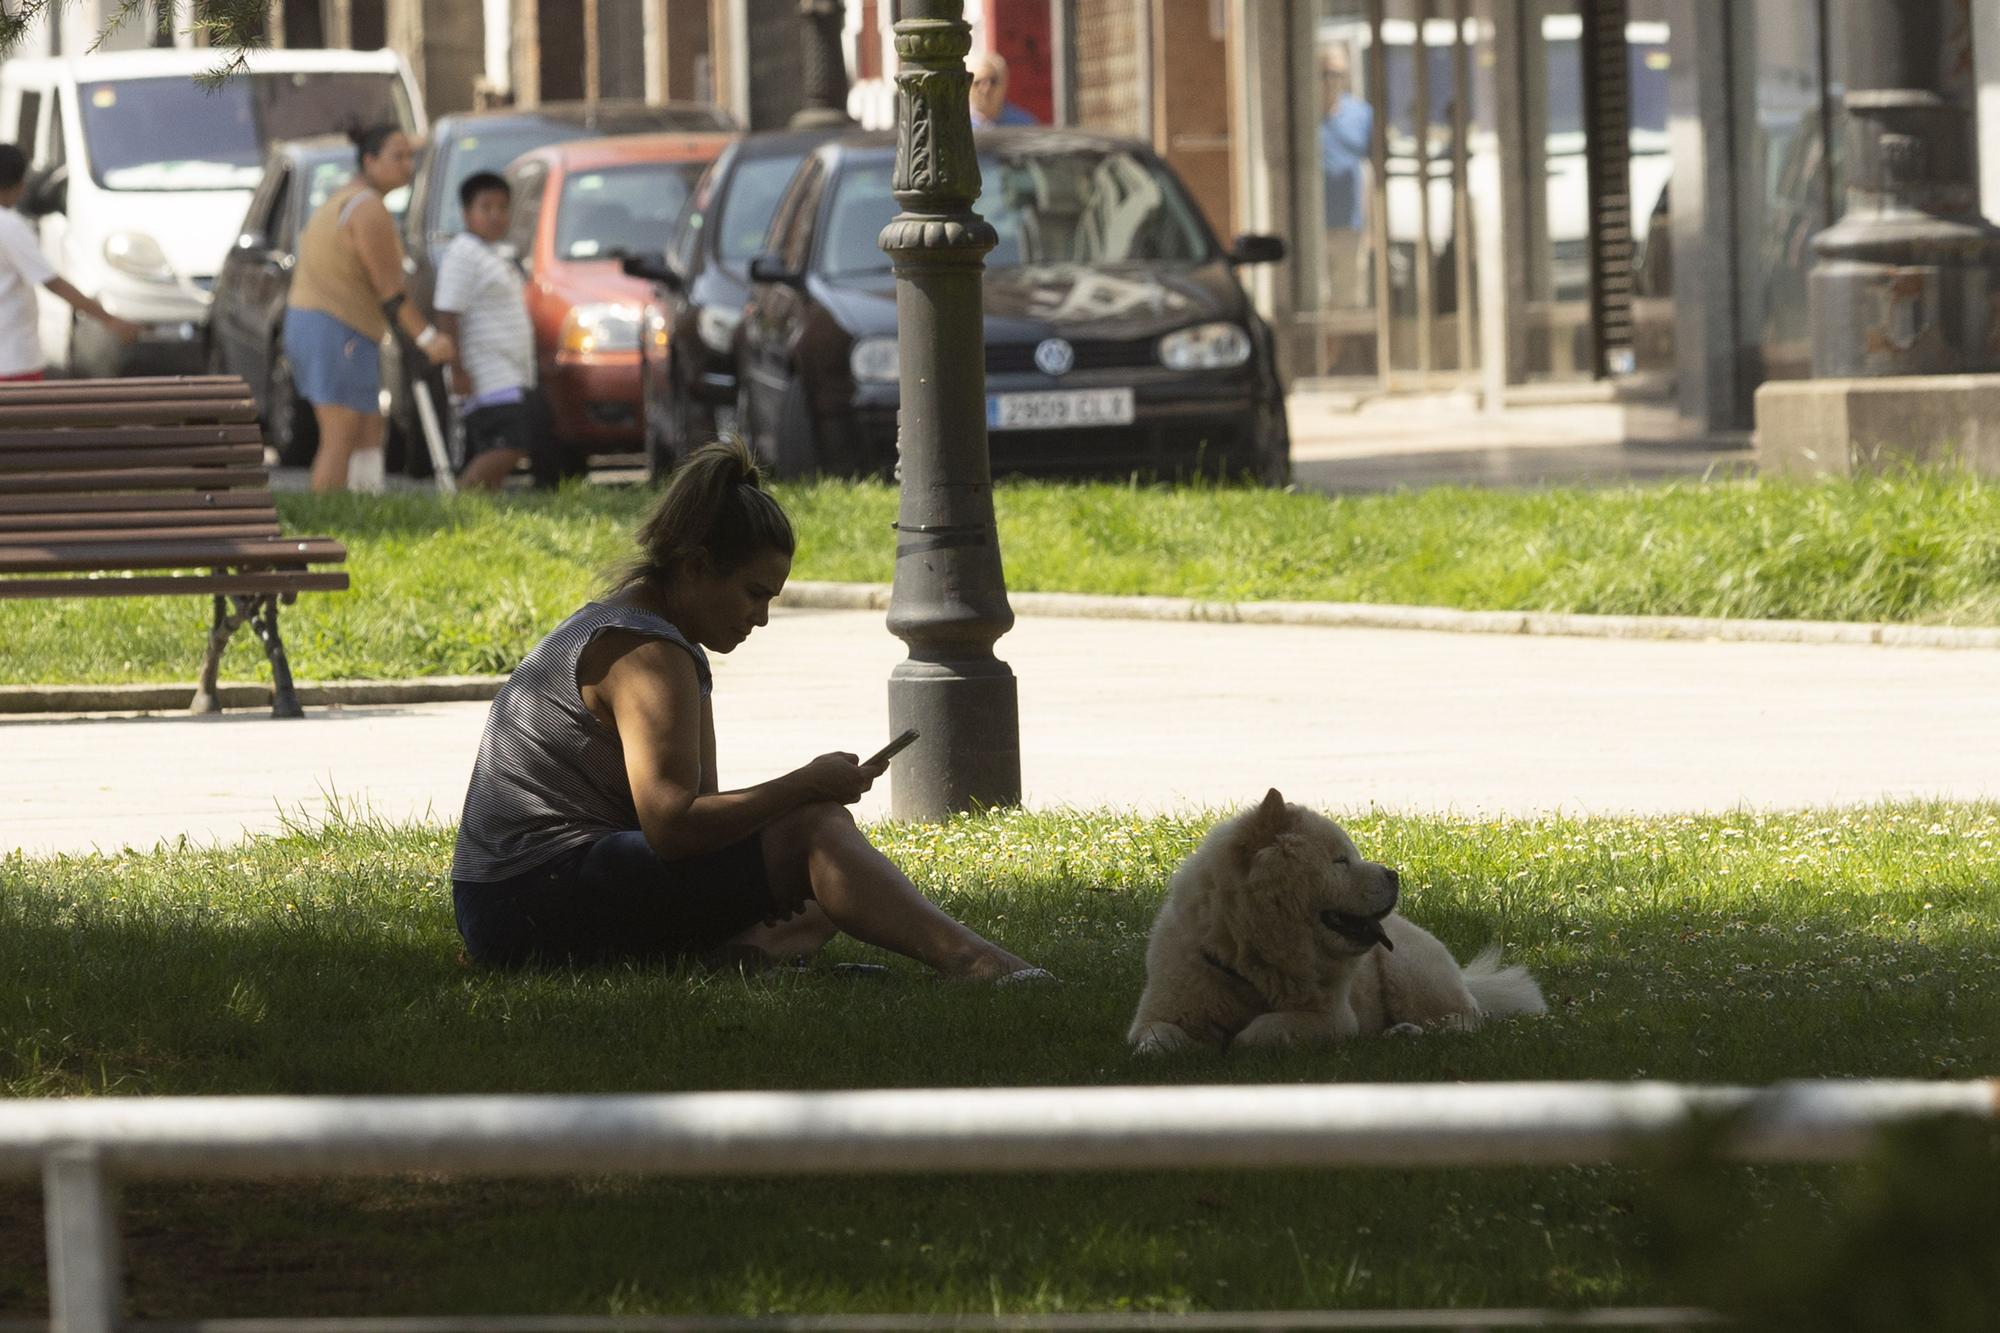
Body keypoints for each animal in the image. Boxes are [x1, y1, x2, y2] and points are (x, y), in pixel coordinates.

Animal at [1128, 788, 1544, 1048]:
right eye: (1341, 861)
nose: (1394, 874)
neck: (1252, 959)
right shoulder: (1157, 1013)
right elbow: (1157, 1037)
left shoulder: (1333, 1019)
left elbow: (1262, 1030)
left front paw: (1238, 1038)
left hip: (1411, 970)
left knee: (1461, 1021)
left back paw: (1410, 1031)